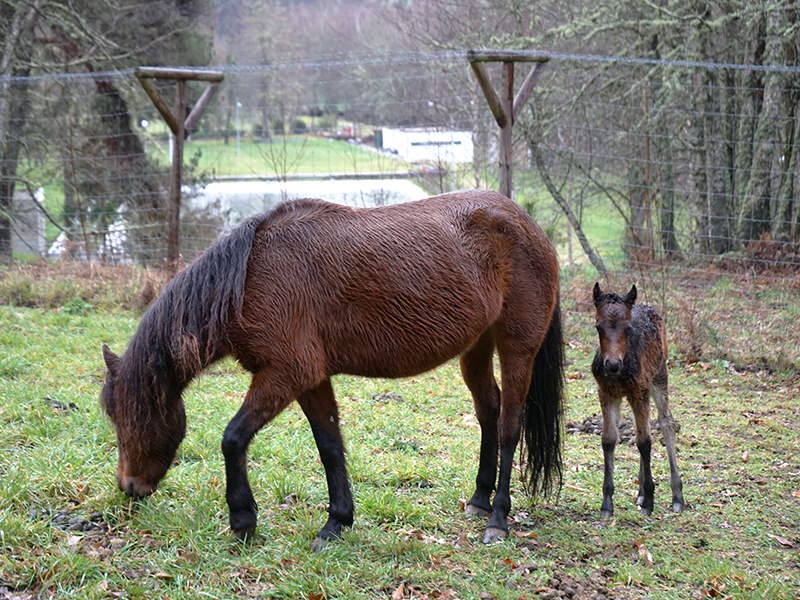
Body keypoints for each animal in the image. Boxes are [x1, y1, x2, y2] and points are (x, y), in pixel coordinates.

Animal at [98, 189, 564, 548]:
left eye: (133, 415)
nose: (129, 488)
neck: (251, 276)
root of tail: (526, 222)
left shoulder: (285, 375)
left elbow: (232, 439)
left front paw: (243, 520)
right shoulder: (311, 380)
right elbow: (329, 446)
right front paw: (337, 522)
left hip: (517, 348)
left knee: (509, 427)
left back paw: (498, 519)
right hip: (475, 348)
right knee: (489, 412)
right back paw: (479, 499)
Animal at [592, 284, 684, 516]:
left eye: (628, 328)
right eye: (598, 327)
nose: (612, 364)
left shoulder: (639, 392)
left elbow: (645, 443)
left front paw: (650, 501)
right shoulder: (607, 393)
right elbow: (609, 439)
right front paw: (607, 503)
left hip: (659, 376)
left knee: (666, 424)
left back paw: (677, 496)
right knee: (641, 428)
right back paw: (641, 492)